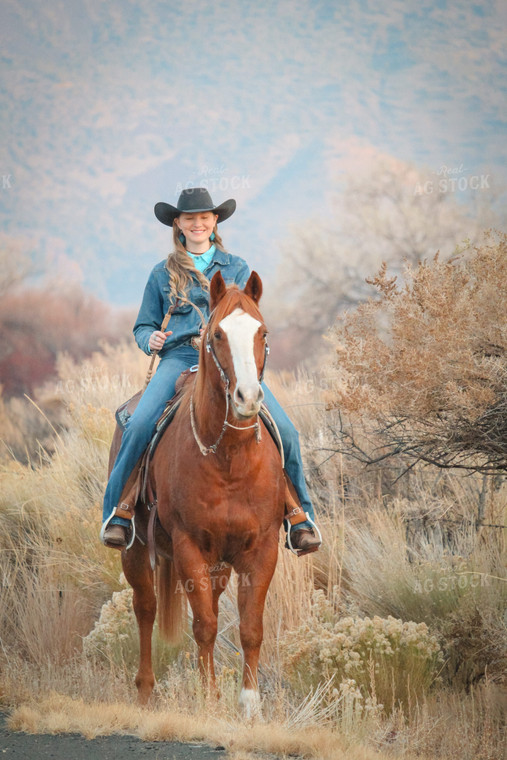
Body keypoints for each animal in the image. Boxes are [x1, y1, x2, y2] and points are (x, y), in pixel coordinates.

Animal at [119, 274, 286, 720]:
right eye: (217, 335)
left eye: (263, 333)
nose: (248, 398)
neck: (229, 458)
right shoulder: (189, 546)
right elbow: (205, 625)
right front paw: (208, 699)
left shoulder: (262, 549)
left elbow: (250, 628)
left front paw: (250, 705)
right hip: (136, 549)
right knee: (146, 607)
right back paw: (145, 689)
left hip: (220, 565)